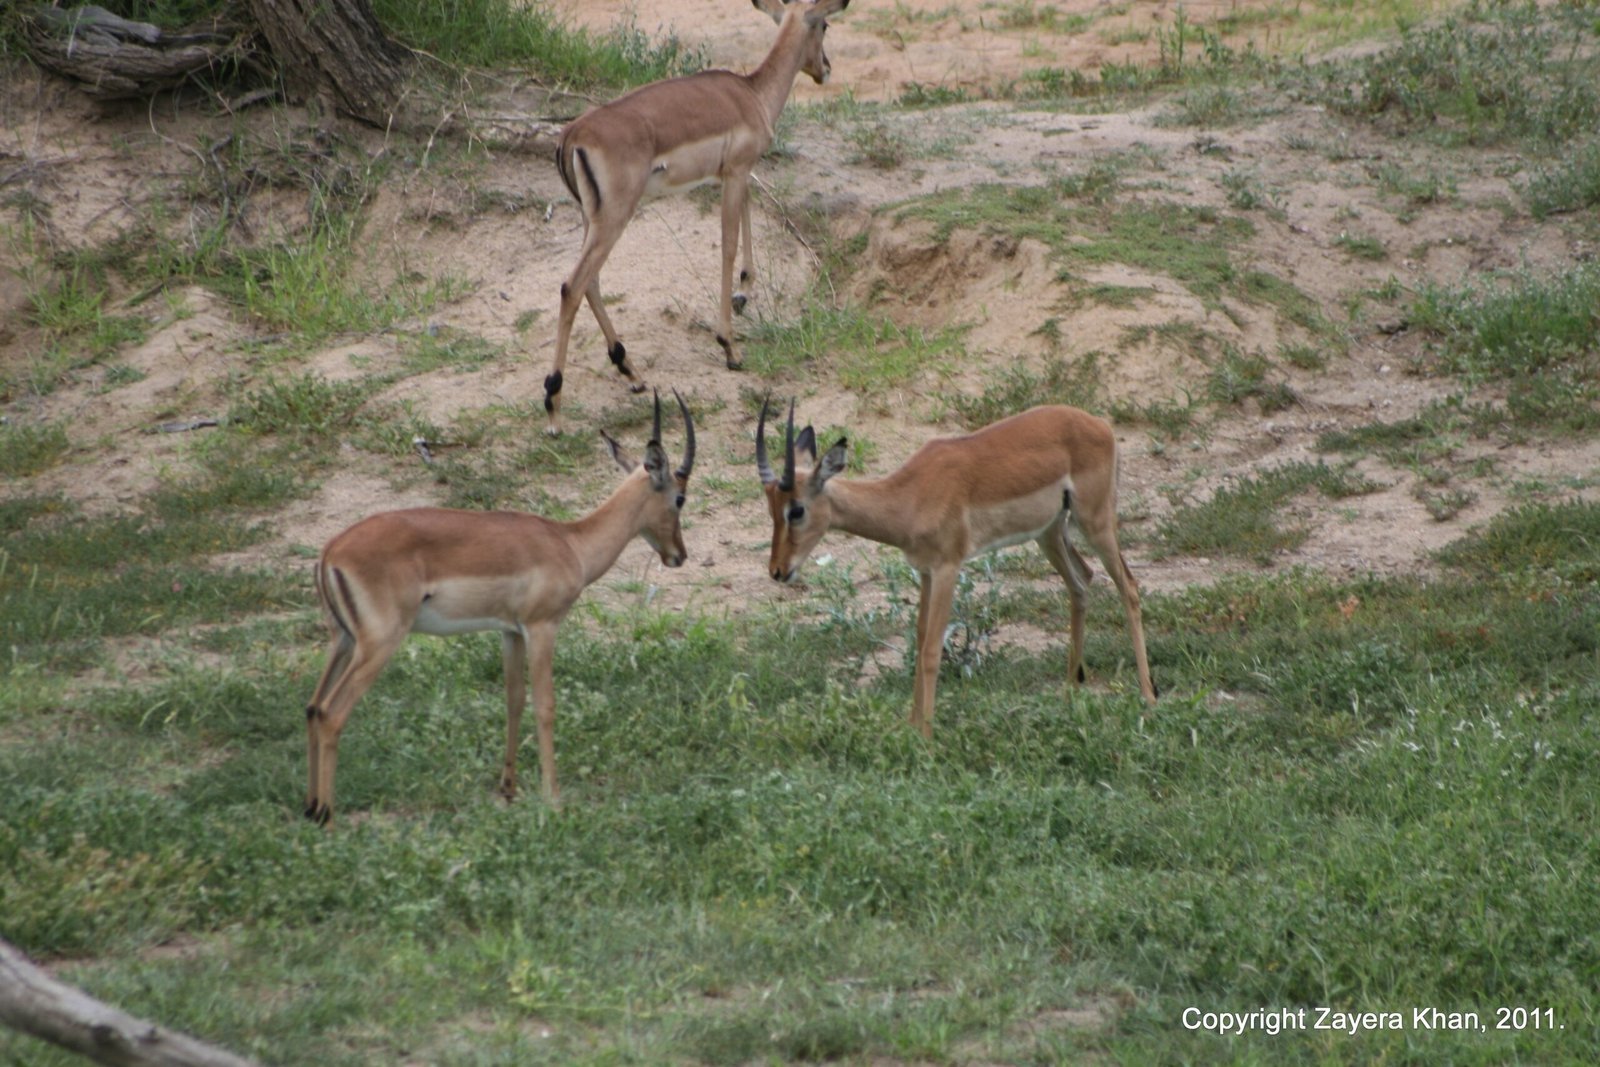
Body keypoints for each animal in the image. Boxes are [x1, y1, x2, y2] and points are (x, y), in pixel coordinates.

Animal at [303, 393, 696, 824]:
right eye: (679, 497)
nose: (679, 555)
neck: (571, 543)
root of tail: (331, 551)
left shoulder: (510, 631)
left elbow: (514, 700)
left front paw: (508, 788)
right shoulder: (542, 627)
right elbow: (545, 705)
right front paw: (553, 798)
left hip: (343, 640)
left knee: (312, 706)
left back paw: (310, 807)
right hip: (378, 644)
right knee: (332, 713)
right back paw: (327, 815)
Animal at [543, 0, 852, 435]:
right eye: (824, 25)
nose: (826, 68)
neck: (751, 93)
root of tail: (572, 134)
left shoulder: (736, 174)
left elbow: (747, 222)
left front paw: (744, 294)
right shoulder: (737, 173)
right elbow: (728, 245)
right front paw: (730, 346)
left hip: (593, 220)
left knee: (590, 283)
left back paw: (632, 373)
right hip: (614, 219)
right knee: (572, 286)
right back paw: (554, 406)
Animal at [756, 401, 1157, 735]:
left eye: (796, 510)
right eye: (771, 509)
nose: (778, 570)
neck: (909, 497)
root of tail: (1100, 424)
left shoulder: (948, 568)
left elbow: (932, 650)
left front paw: (927, 737)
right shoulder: (925, 572)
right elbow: (919, 640)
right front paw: (912, 725)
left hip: (1095, 521)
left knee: (1129, 586)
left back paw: (1148, 696)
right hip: (1050, 532)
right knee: (1082, 582)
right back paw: (1070, 691)